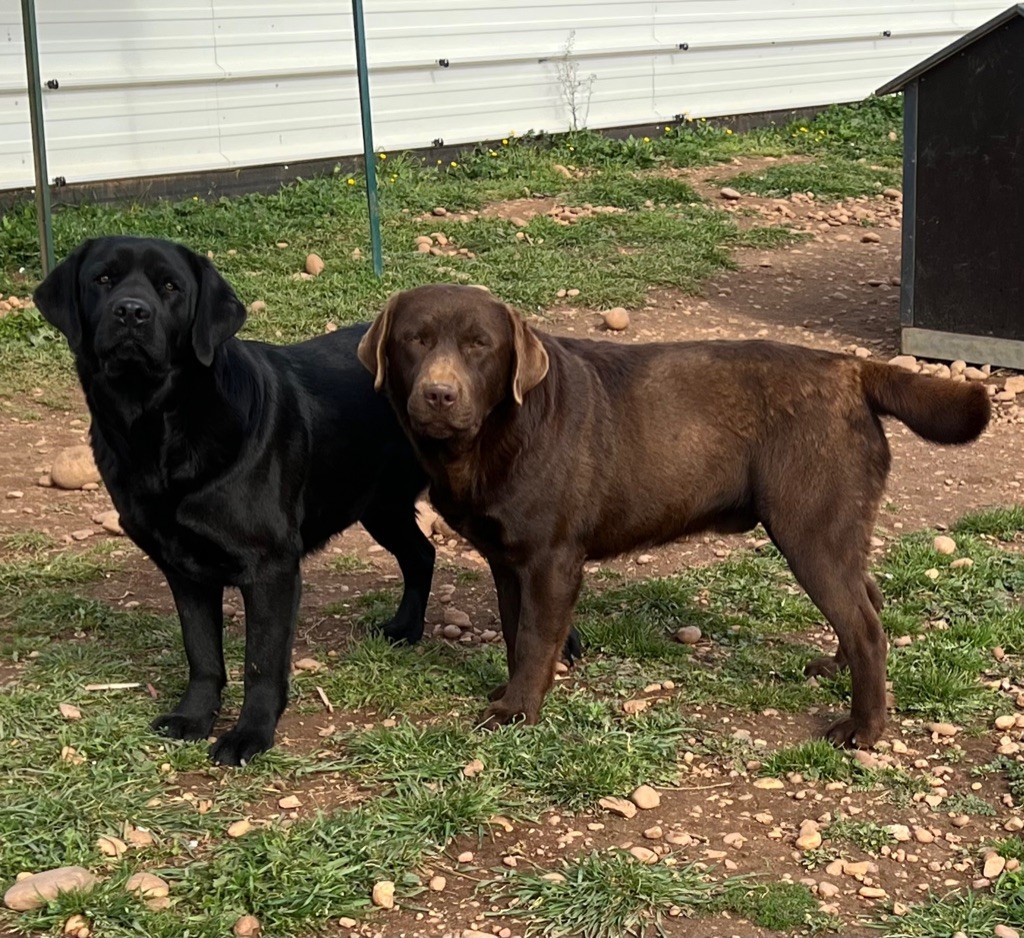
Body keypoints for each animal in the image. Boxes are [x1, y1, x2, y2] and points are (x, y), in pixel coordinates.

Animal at [34, 238, 434, 765]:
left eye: (170, 286)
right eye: (103, 279)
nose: (132, 312)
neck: (159, 431)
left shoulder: (271, 569)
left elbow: (261, 663)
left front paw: (251, 734)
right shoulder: (182, 570)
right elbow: (202, 653)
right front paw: (193, 717)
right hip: (378, 505)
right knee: (422, 554)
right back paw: (406, 628)